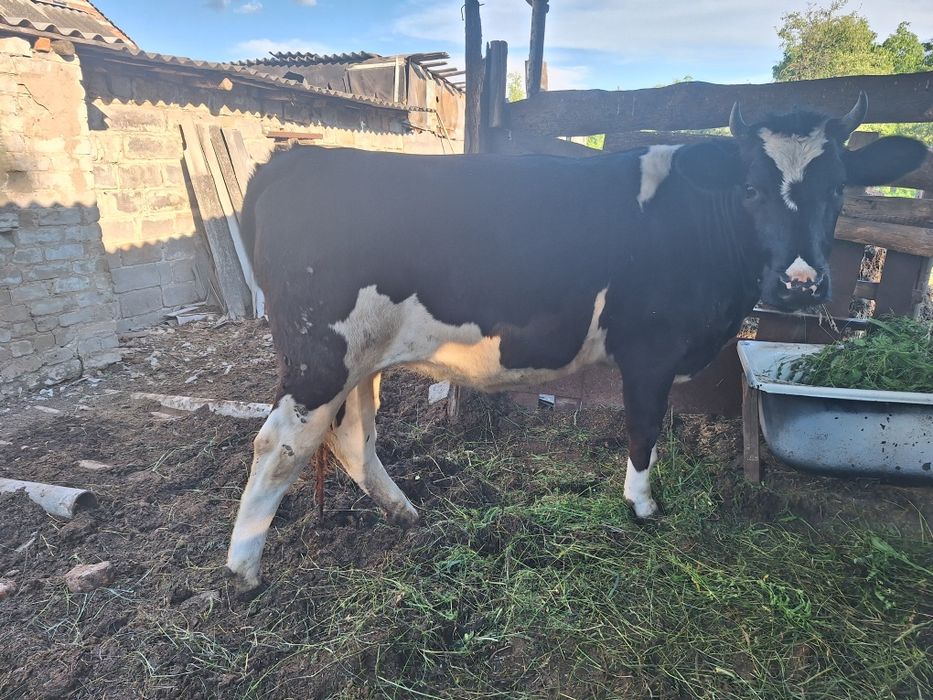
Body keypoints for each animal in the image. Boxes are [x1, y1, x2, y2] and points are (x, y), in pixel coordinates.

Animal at [226, 93, 927, 589]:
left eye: (838, 188)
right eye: (752, 188)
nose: (801, 283)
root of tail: (296, 160)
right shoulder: (650, 347)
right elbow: (644, 426)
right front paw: (642, 506)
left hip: (363, 357)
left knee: (351, 435)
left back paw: (406, 514)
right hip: (318, 355)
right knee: (280, 444)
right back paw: (243, 572)